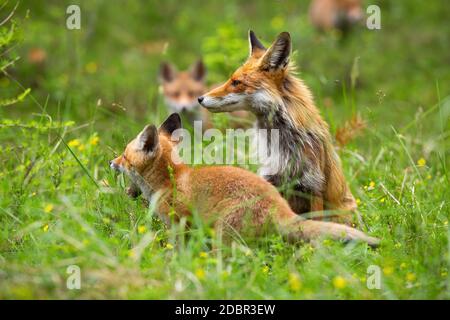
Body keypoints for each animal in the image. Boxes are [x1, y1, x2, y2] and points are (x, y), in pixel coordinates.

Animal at [109, 114, 380, 246]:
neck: (169, 181)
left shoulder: (180, 224)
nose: (111, 162)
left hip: (224, 235)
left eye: (124, 155)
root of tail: (281, 209)